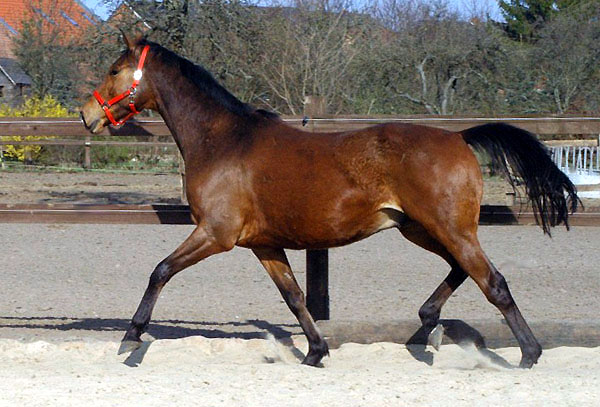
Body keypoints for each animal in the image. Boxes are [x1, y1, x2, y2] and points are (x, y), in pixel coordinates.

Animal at [81, 35, 576, 370]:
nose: (87, 116)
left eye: (114, 69)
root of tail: (458, 137)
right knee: (462, 270)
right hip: (420, 228)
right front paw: (315, 353)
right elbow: (294, 296)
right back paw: (430, 323)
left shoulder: (216, 234)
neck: (223, 140)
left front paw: (131, 338)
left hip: (447, 227)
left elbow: (160, 270)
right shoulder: (263, 243)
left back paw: (527, 354)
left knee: (493, 282)